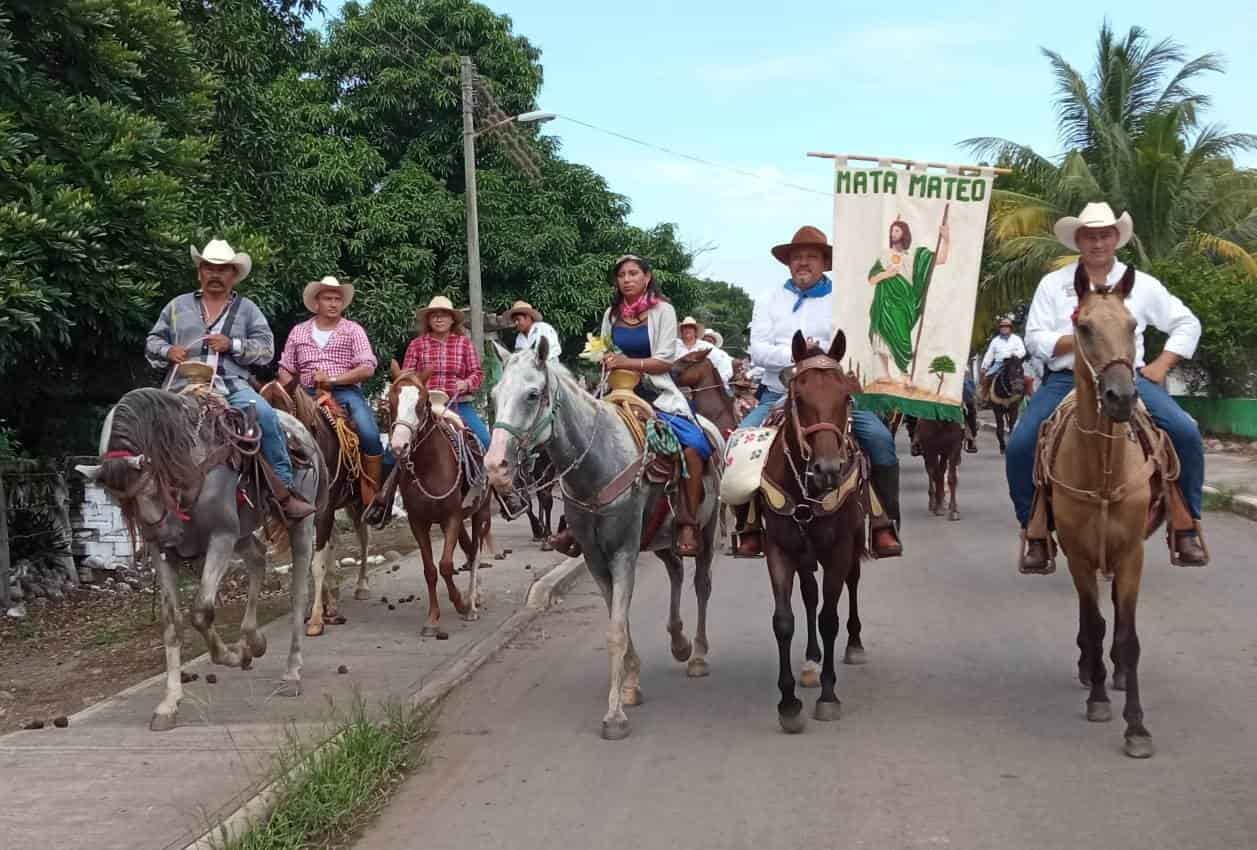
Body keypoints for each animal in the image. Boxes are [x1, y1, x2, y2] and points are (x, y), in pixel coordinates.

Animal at [76, 387, 324, 729]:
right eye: (120, 502)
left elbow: (201, 612)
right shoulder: (165, 555)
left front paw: (232, 656)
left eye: (152, 485)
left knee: (298, 592)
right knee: (258, 559)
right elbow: (171, 623)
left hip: (299, 524)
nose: (167, 536)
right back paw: (254, 641)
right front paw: (169, 704)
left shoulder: (221, 537)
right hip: (243, 533)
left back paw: (291, 673)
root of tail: (301, 429)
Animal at [258, 382, 367, 633]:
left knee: (363, 537)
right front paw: (322, 609)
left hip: (356, 504)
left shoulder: (325, 512)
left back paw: (361, 586)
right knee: (334, 543)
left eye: (288, 410)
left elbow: (317, 563)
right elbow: (314, 560)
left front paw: (317, 619)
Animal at [387, 362, 490, 633]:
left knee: (476, 552)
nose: (399, 446)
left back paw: (473, 601)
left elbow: (445, 565)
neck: (428, 466)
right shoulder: (418, 522)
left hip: (481, 513)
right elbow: (431, 570)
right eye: (391, 400)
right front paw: (433, 619)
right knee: (468, 551)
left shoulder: (451, 518)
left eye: (421, 403)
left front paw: (462, 604)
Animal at [485, 339, 724, 739]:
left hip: (705, 529)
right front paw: (631, 684)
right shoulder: (596, 558)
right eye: (494, 395)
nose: (495, 467)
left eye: (533, 394)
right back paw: (678, 641)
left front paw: (614, 715)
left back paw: (698, 655)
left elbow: (616, 631)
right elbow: (619, 622)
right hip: (658, 538)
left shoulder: (623, 554)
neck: (596, 464)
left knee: (702, 584)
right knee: (675, 570)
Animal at [754, 329, 864, 729]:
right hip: (804, 554)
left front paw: (829, 695)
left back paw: (854, 645)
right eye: (799, 398)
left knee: (850, 585)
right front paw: (788, 703)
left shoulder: (839, 548)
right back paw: (811, 661)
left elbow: (830, 618)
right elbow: (784, 620)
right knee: (809, 594)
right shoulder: (780, 548)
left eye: (846, 395)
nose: (827, 469)